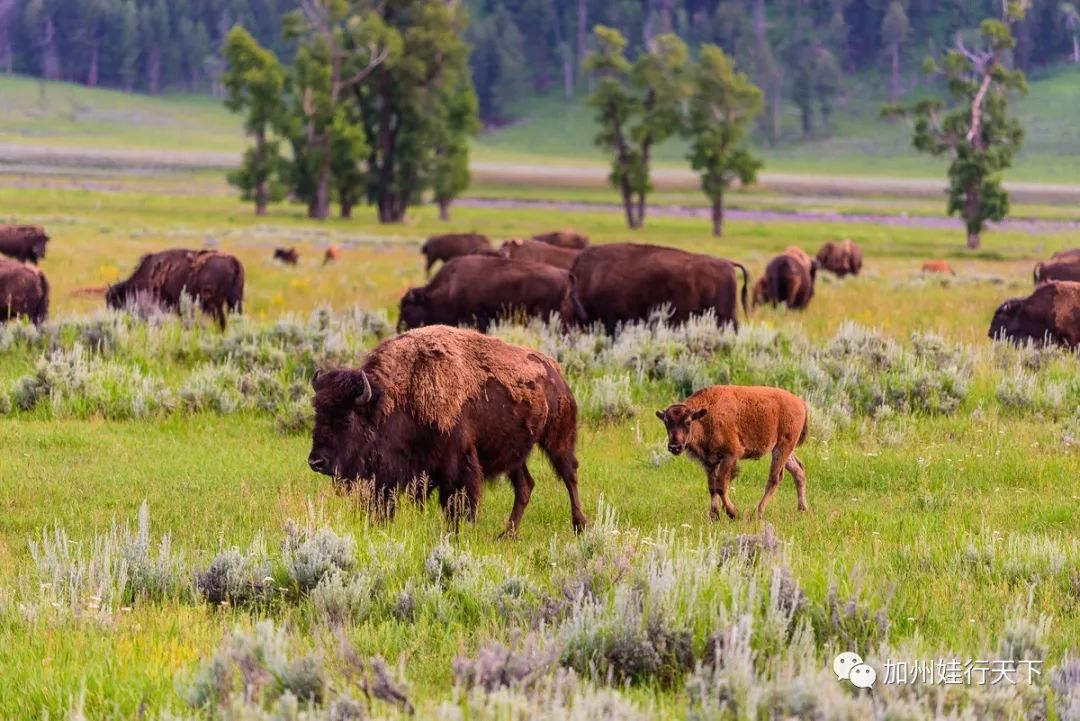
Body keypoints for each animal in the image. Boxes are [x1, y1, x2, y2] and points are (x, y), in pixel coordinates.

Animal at [104, 246, 245, 328]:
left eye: (114, 301)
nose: (112, 317)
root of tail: (233, 260)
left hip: (215, 302)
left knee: (220, 320)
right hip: (235, 300)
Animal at [304, 323, 591, 533]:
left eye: (346, 419)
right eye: (318, 415)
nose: (316, 462)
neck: (397, 399)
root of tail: (555, 371)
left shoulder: (458, 463)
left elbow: (456, 501)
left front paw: (456, 531)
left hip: (558, 439)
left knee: (570, 475)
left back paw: (580, 525)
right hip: (515, 454)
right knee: (525, 486)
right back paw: (506, 534)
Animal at [656, 386, 812, 520]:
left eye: (688, 422)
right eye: (666, 422)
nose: (674, 446)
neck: (705, 416)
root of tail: (800, 403)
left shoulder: (730, 456)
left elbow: (720, 486)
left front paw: (733, 513)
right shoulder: (710, 462)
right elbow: (712, 487)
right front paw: (714, 516)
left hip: (783, 447)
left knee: (775, 478)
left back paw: (757, 513)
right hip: (783, 449)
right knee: (798, 470)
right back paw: (802, 509)